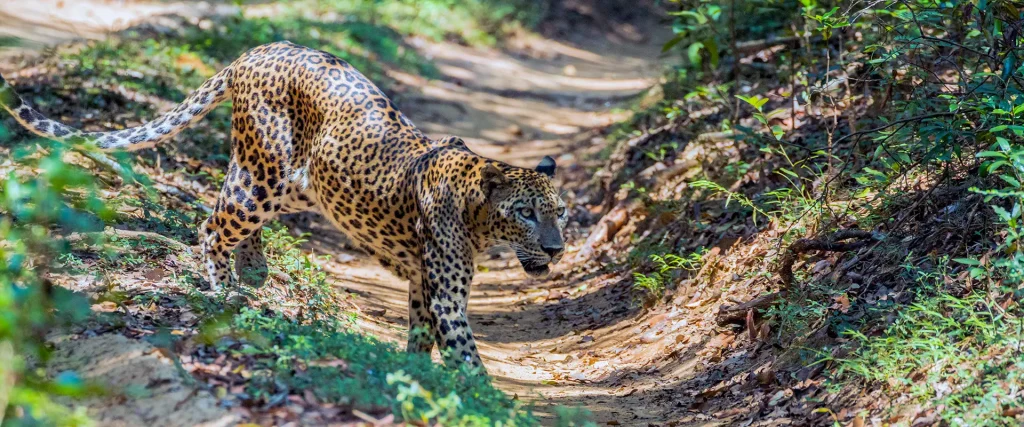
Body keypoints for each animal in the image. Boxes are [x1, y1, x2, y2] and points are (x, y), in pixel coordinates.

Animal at [0, 41, 568, 371]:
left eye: (559, 213)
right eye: (525, 213)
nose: (556, 250)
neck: (477, 214)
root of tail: (256, 51)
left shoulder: (420, 282)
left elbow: (419, 333)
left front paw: (419, 375)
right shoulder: (447, 293)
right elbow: (468, 355)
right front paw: (483, 399)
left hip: (286, 181)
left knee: (225, 212)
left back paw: (254, 270)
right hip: (262, 178)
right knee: (210, 228)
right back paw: (224, 290)